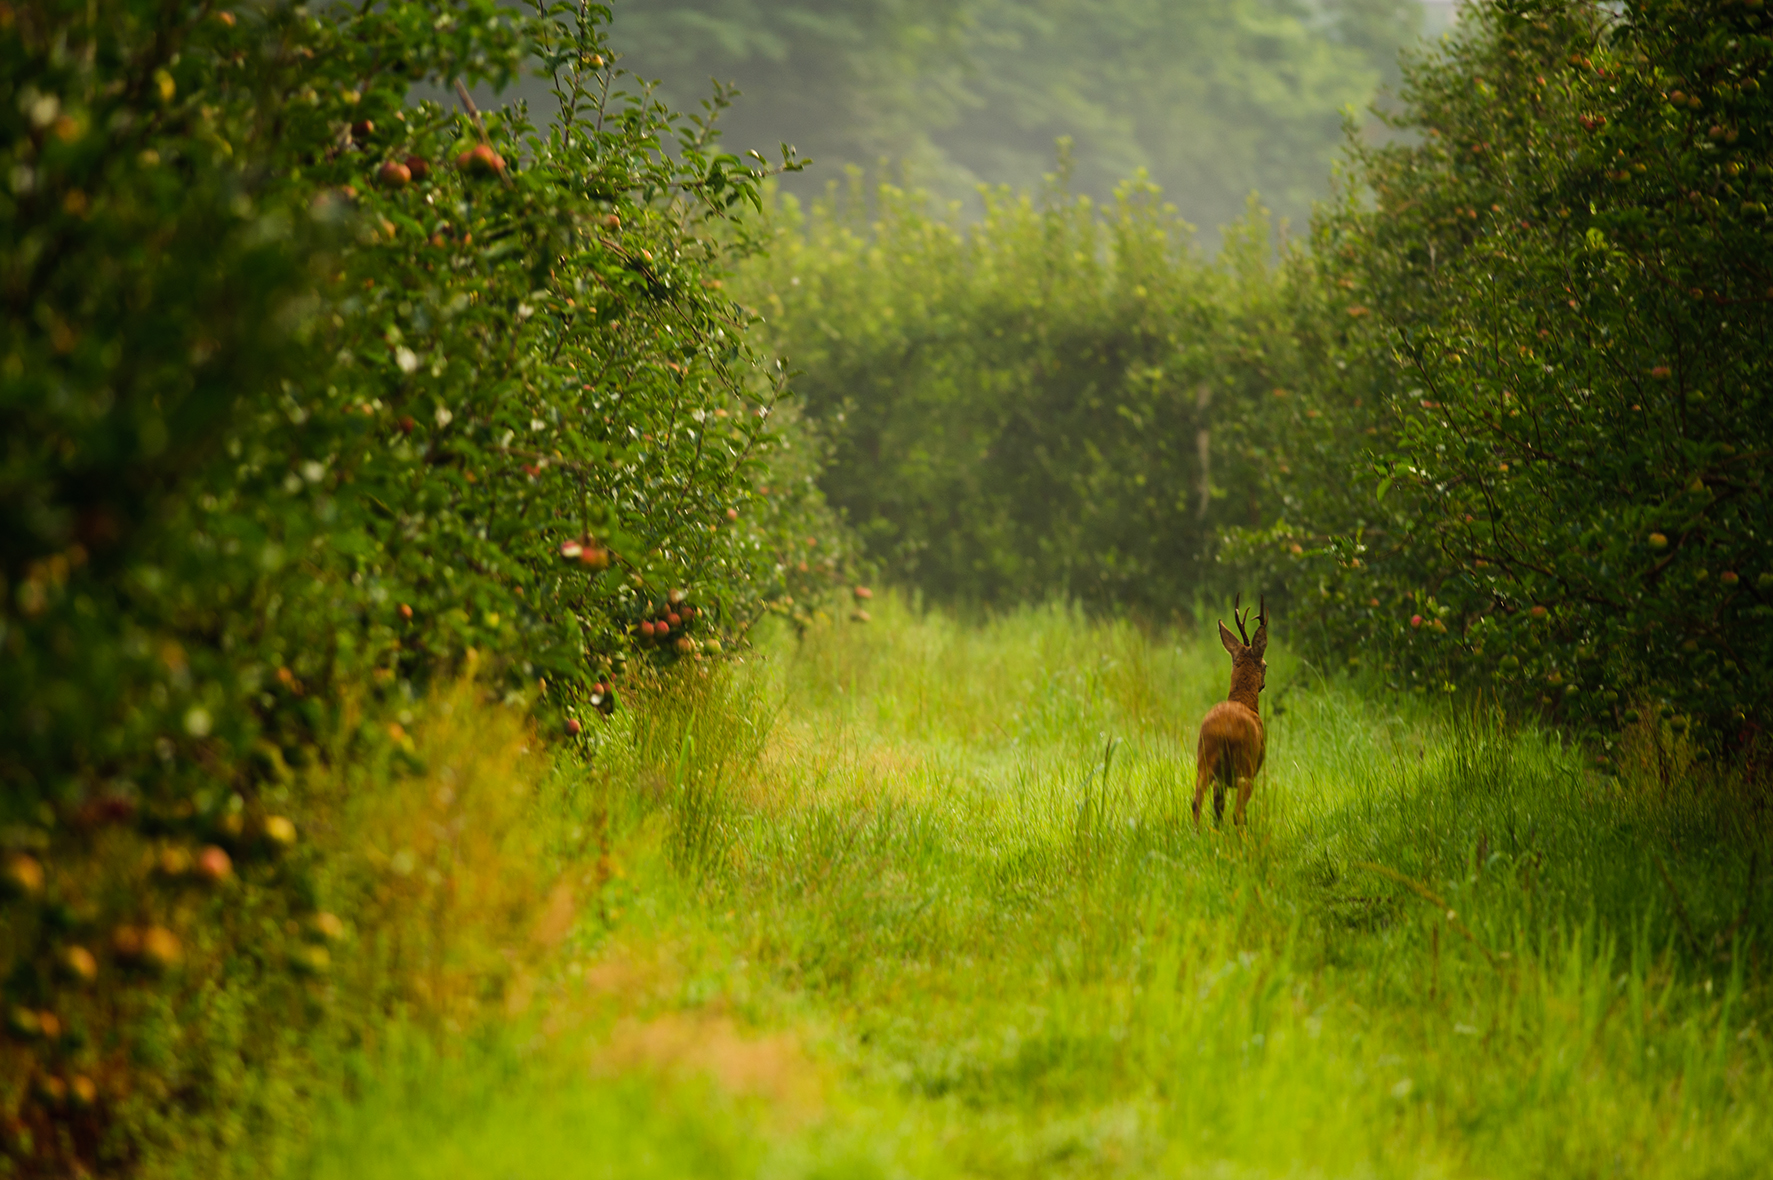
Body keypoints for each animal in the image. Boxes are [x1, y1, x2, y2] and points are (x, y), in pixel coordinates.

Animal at [1194, 594, 1267, 828]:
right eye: (1265, 665)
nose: (1263, 684)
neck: (1244, 701)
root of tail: (1224, 730)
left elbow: (1218, 811)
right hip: (1246, 767)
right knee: (1238, 813)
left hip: (1205, 761)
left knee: (1197, 802)